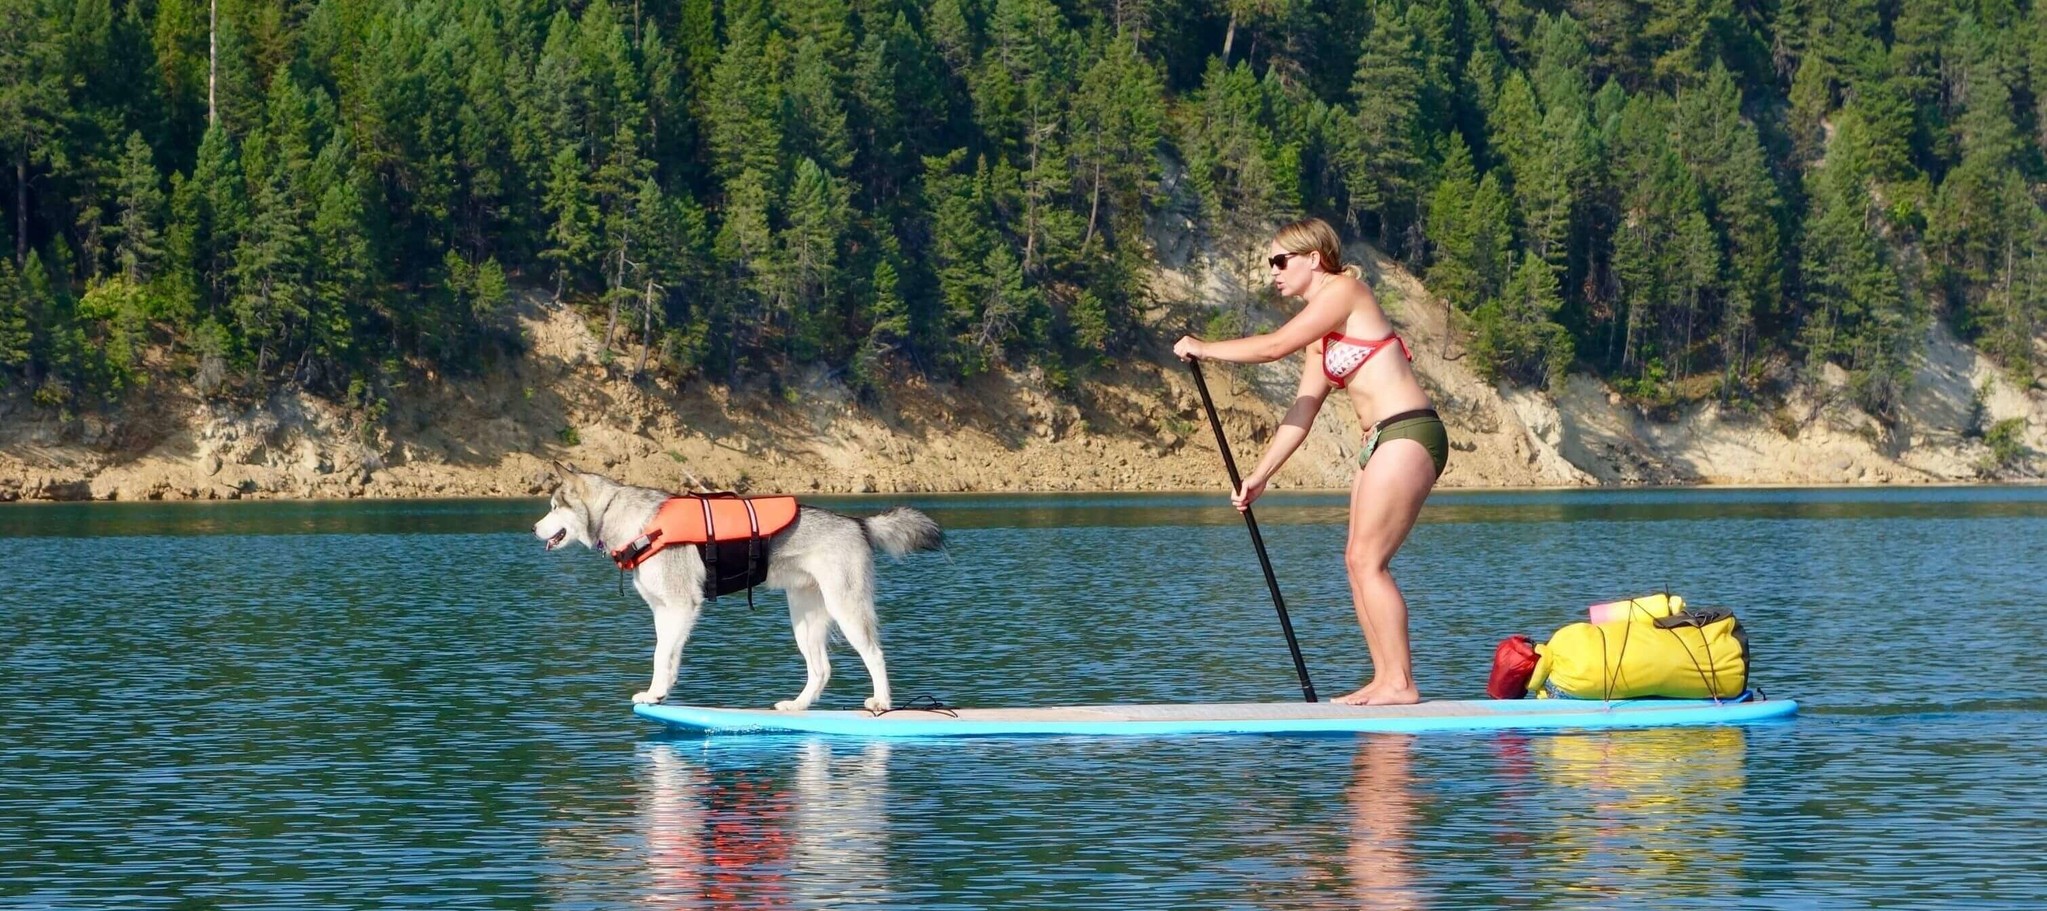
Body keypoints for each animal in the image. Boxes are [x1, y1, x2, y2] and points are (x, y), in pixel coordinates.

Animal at [532, 460, 937, 708]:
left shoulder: (680, 607)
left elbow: (661, 655)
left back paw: (883, 702)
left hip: (846, 609)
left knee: (875, 655)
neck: (629, 519)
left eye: (553, 508)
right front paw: (660, 693)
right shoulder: (664, 613)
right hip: (804, 620)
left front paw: (655, 693)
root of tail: (857, 523)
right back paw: (798, 706)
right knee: (821, 669)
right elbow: (666, 656)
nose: (534, 529)